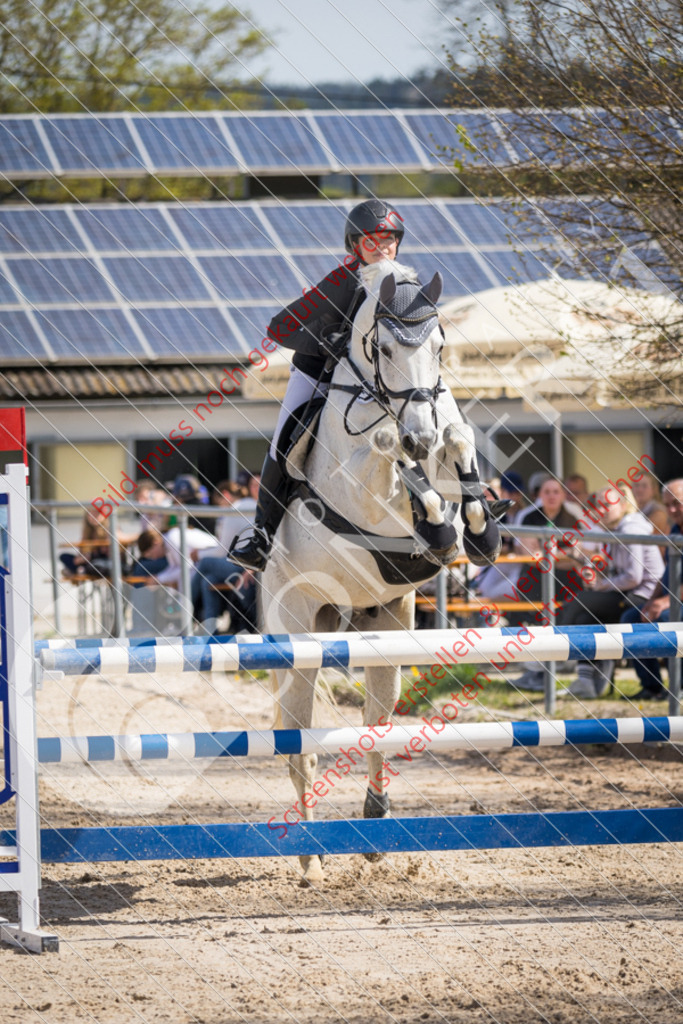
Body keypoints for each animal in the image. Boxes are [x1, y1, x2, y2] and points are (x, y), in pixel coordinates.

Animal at [262, 260, 497, 884]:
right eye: (385, 347)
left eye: (439, 346)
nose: (420, 432)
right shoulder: (361, 483)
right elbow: (387, 451)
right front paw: (431, 514)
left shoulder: (444, 435)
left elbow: (458, 440)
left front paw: (473, 529)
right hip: (296, 629)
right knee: (300, 745)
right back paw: (310, 855)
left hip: (386, 623)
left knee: (377, 719)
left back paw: (375, 819)